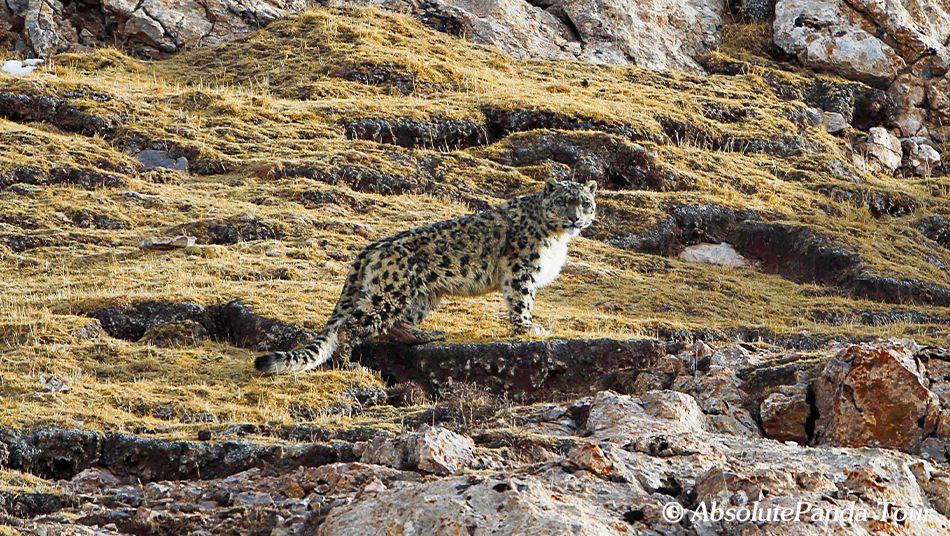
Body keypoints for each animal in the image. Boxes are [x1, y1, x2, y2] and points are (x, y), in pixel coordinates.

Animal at [254, 178, 597, 374]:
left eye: (584, 202)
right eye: (562, 202)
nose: (575, 218)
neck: (556, 237)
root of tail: (370, 248)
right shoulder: (521, 269)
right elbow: (522, 301)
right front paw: (528, 328)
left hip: (421, 297)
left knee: (392, 324)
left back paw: (426, 335)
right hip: (391, 294)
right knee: (352, 325)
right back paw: (348, 363)